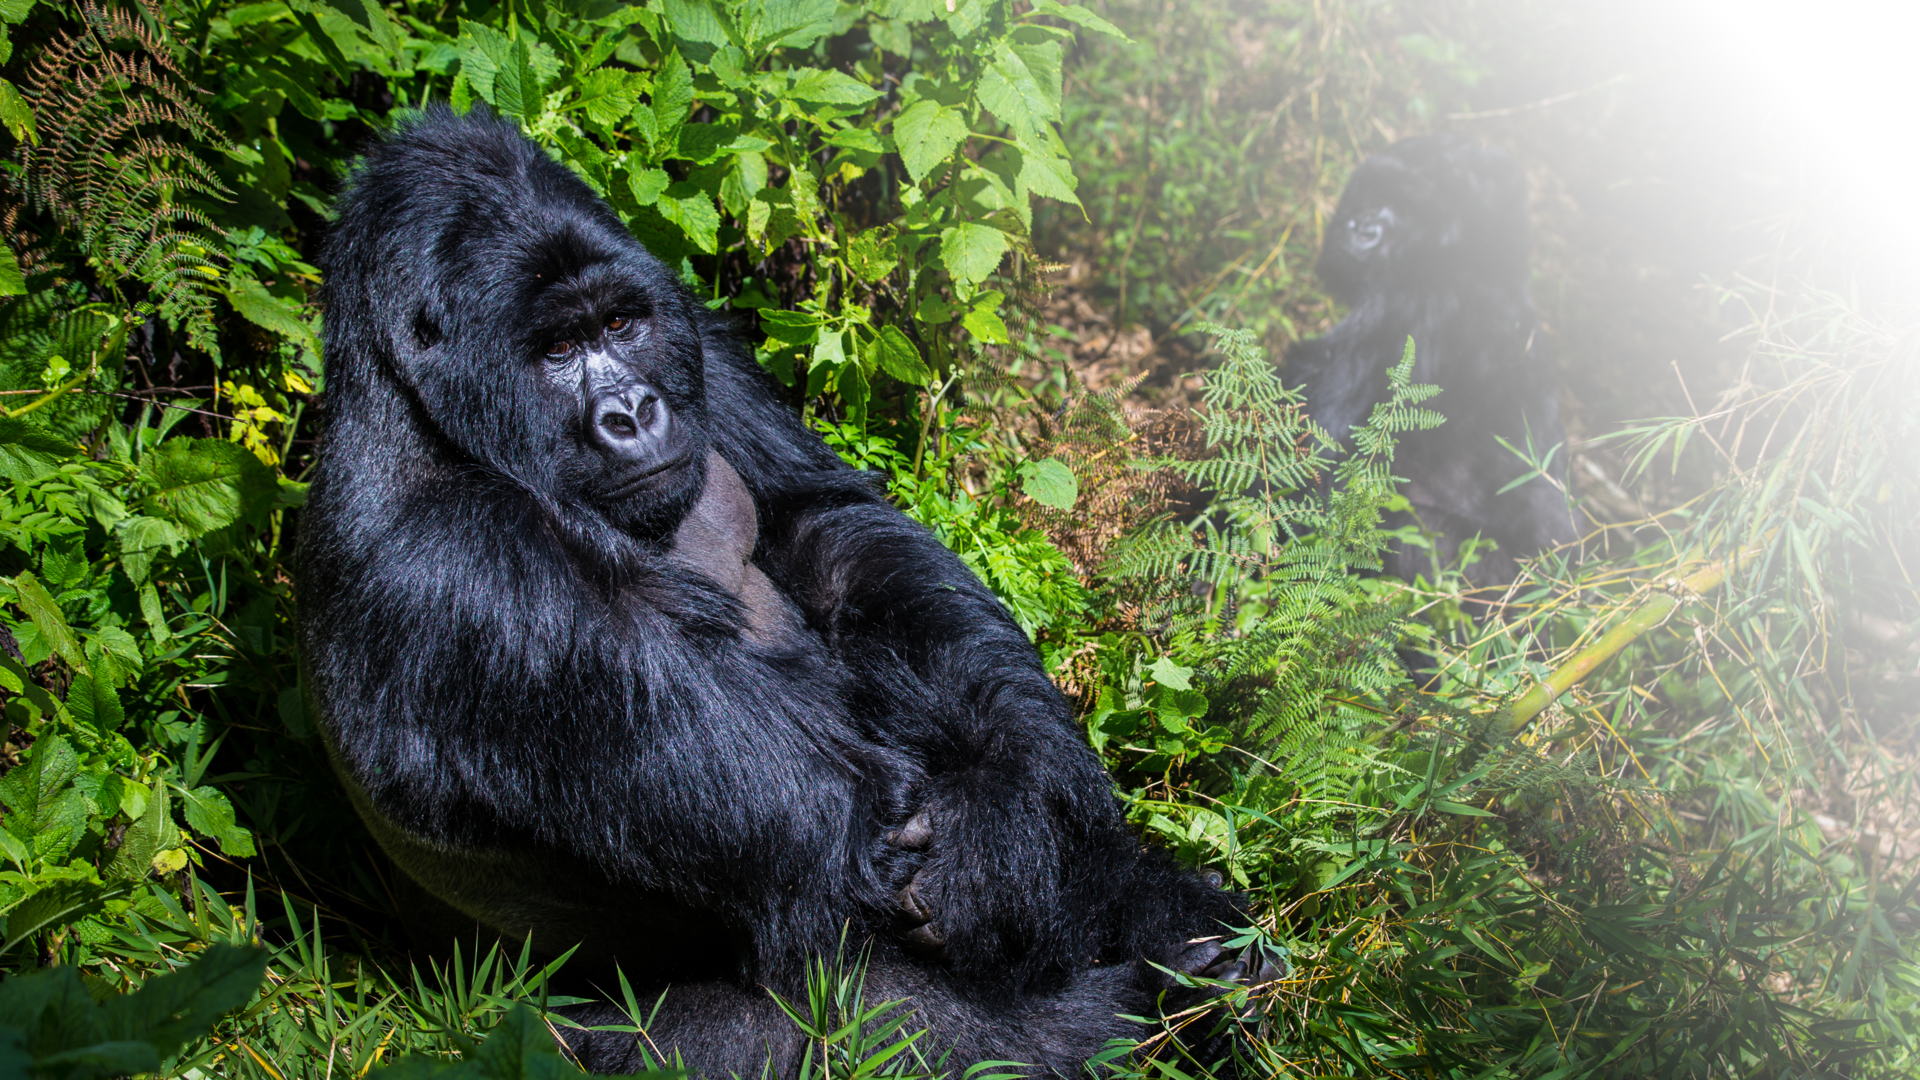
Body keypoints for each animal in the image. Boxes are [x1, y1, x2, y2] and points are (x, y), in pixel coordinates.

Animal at [299, 105, 1274, 1068]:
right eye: (559, 348)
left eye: (621, 325)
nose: (631, 413)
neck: (423, 416)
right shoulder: (467, 564)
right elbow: (863, 835)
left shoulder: (693, 339)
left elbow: (829, 527)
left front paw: (1004, 831)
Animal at [1290, 135, 1574, 591]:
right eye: (1375, 192)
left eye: (1407, 210)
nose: (1361, 229)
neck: (1482, 263)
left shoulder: (1416, 292)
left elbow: (1315, 448)